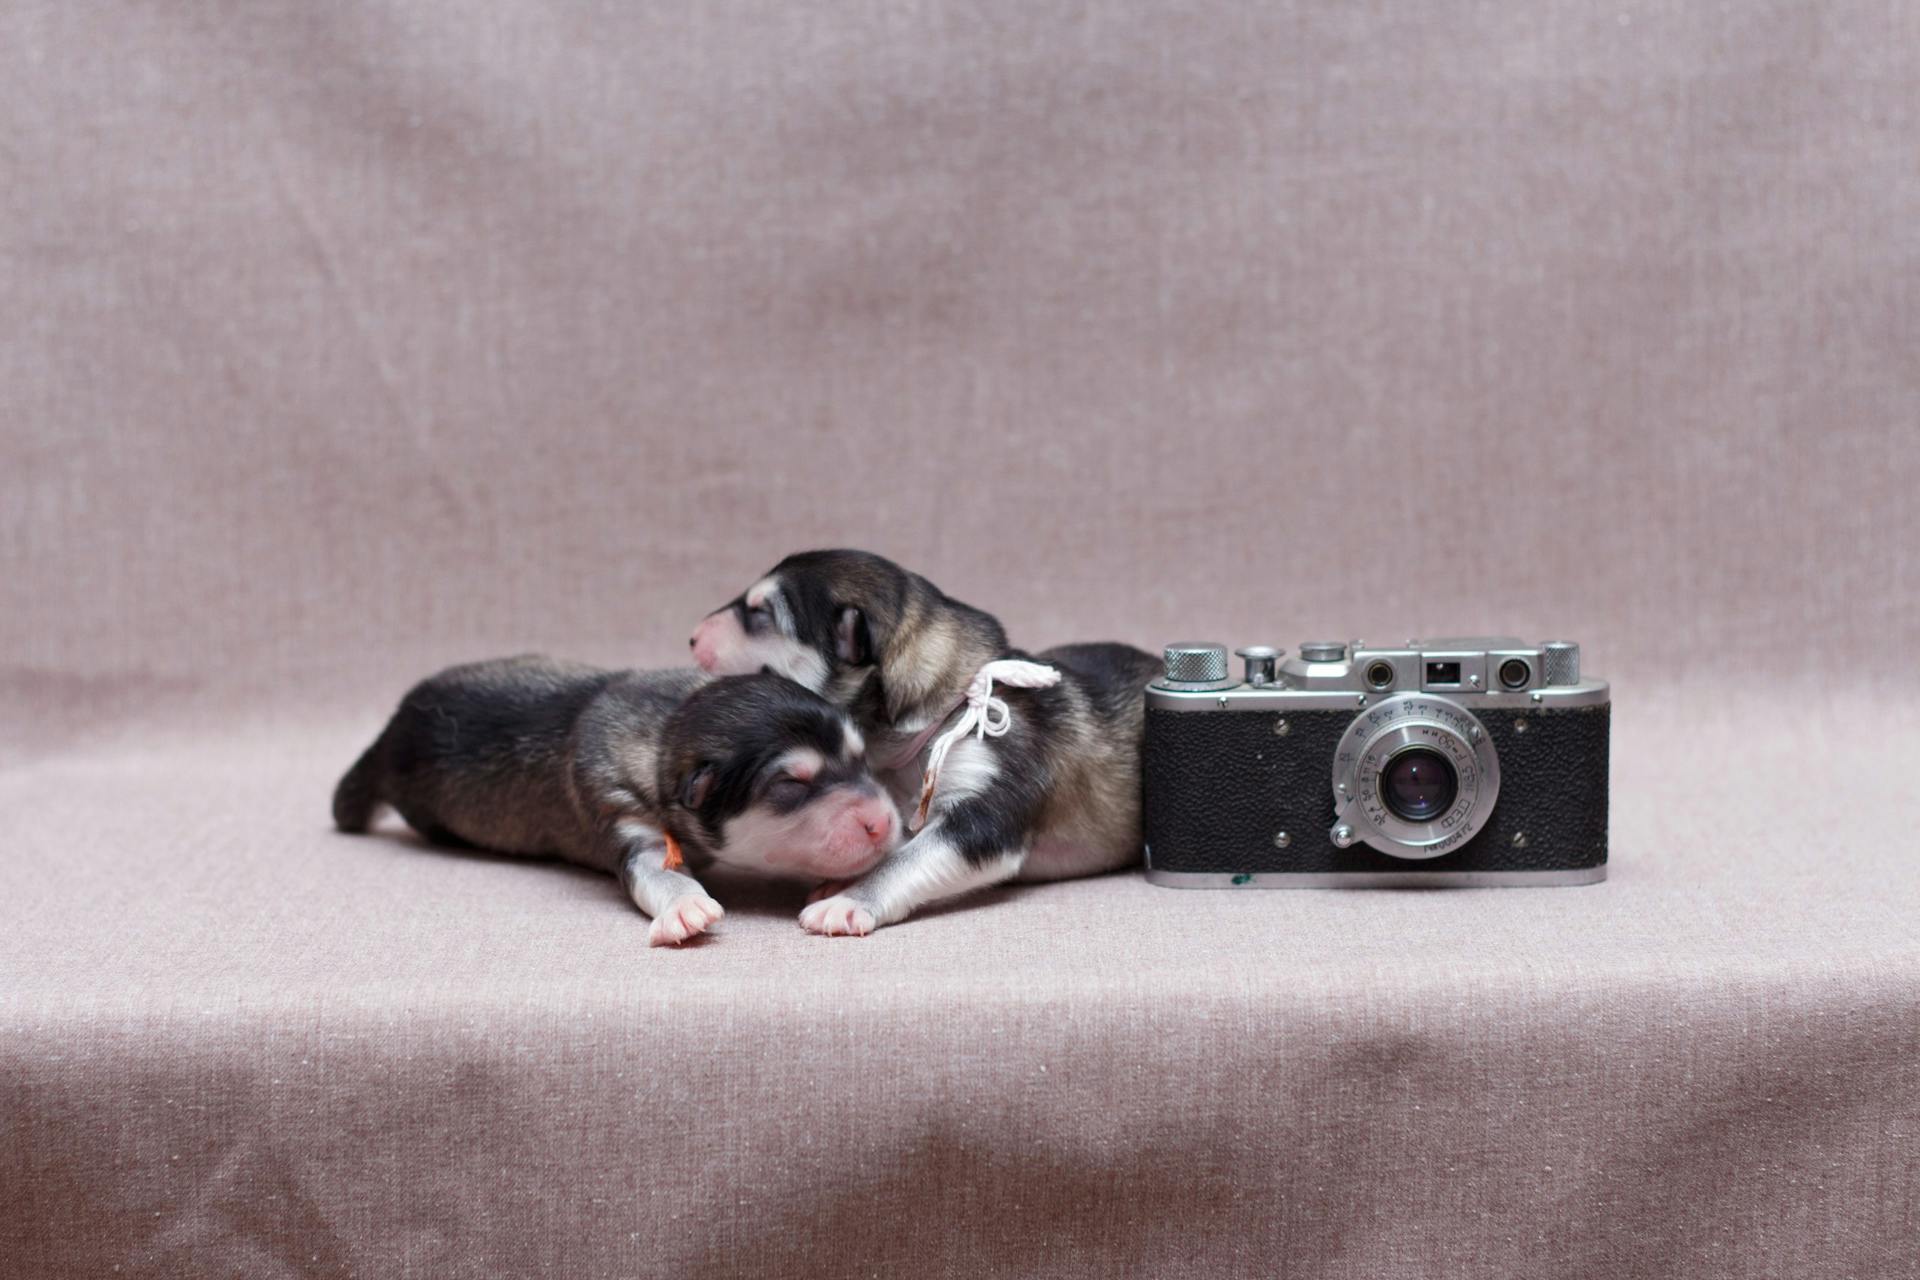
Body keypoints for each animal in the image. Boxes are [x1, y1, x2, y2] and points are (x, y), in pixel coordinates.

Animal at [332, 660, 898, 940]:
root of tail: (388, 735)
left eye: (862, 758)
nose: (885, 824)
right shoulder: (620, 811)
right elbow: (657, 870)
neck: (669, 728)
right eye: (791, 785)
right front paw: (686, 906)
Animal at [691, 545, 1152, 936]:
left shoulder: (983, 808)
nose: (692, 637)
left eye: (761, 613)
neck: (944, 712)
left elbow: (907, 859)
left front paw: (849, 899)